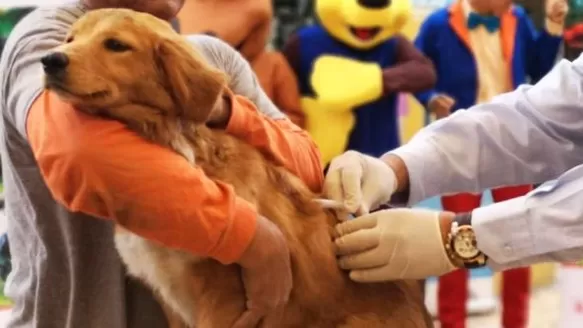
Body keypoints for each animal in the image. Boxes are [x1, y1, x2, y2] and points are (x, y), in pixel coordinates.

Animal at [42, 9, 434, 326]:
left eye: (116, 45)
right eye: (71, 38)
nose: (50, 60)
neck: (175, 147)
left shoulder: (226, 299)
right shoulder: (171, 300)